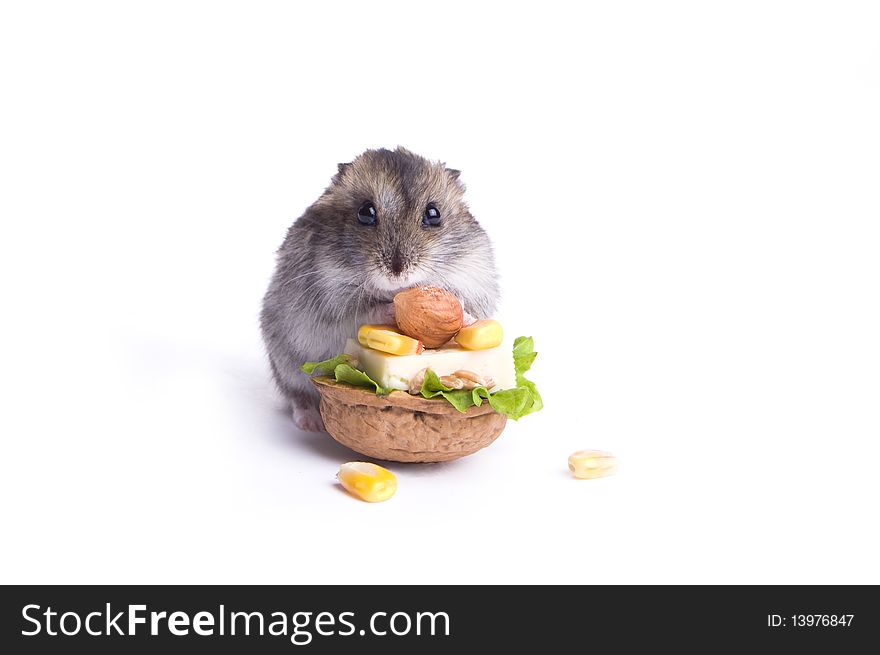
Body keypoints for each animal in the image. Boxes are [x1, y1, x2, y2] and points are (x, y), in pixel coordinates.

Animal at [258, 147, 498, 434]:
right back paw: (311, 424)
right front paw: (392, 308)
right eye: (365, 212)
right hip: (287, 366)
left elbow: (467, 308)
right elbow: (362, 314)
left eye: (434, 214)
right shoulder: (329, 305)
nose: (397, 273)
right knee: (298, 395)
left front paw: (463, 316)